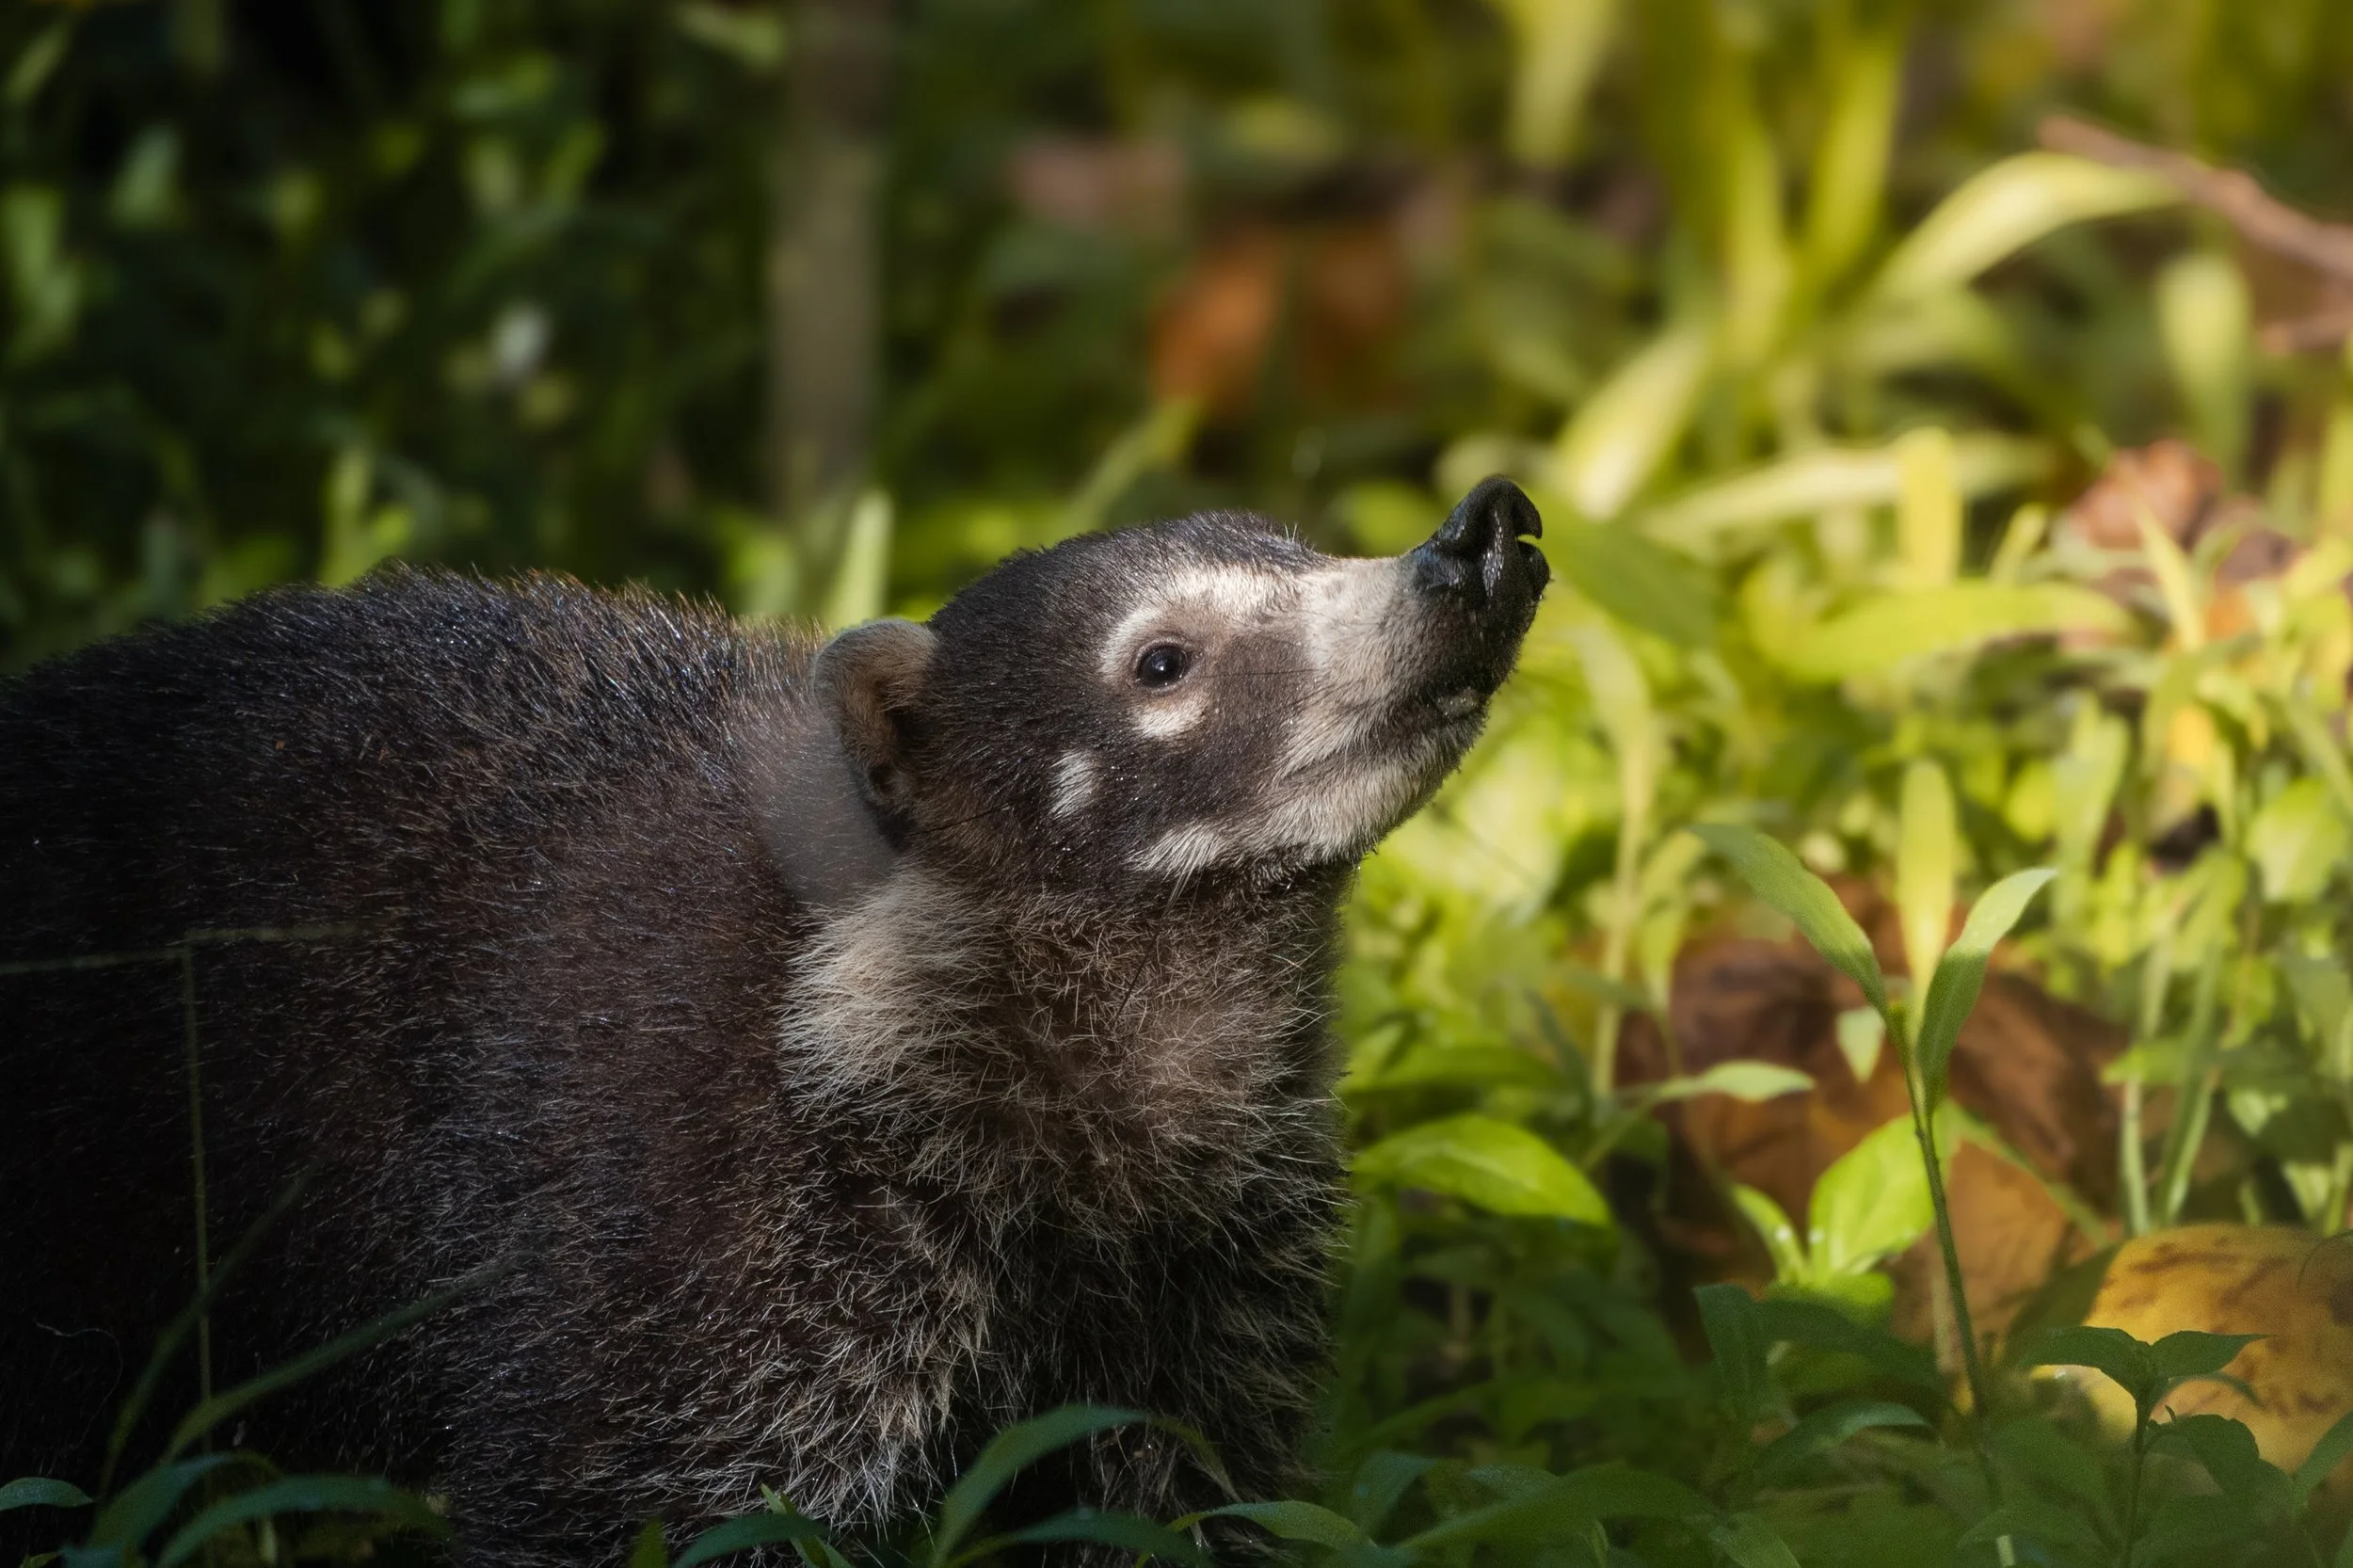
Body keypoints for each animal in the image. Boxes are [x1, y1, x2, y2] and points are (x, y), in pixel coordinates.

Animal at [0, 478, 1547, 1562]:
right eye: (1161, 662)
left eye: (1303, 546)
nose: (1482, 531)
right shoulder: (705, 1232)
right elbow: (616, 1506)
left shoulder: (1206, 1262)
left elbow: (1195, 1498)